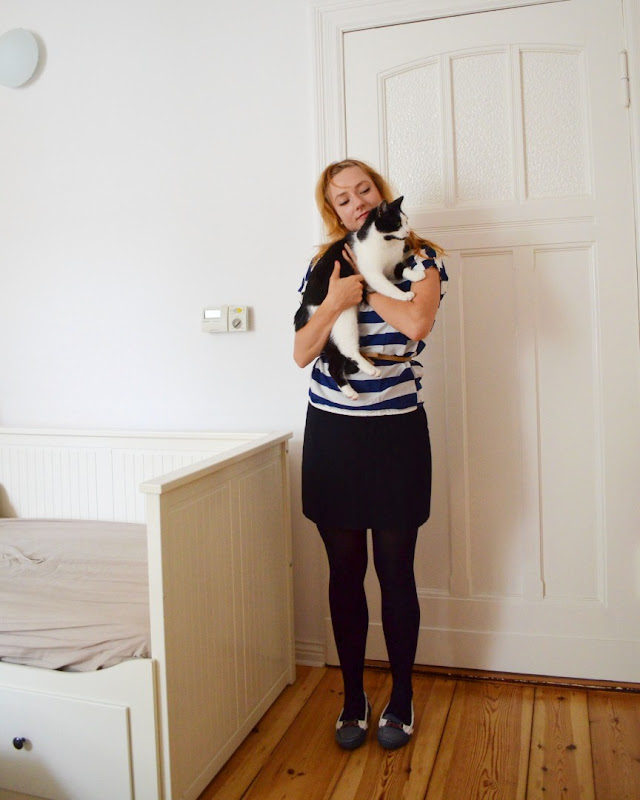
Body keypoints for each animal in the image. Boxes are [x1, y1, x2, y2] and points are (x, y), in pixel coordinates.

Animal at [294, 196, 427, 400]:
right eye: (397, 223)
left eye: (406, 221)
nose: (407, 231)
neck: (386, 244)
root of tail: (307, 305)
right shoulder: (372, 273)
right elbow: (387, 286)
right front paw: (404, 295)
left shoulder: (392, 267)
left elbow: (403, 269)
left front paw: (417, 275)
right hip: (343, 316)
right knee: (348, 349)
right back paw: (371, 370)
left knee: (334, 365)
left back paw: (350, 392)